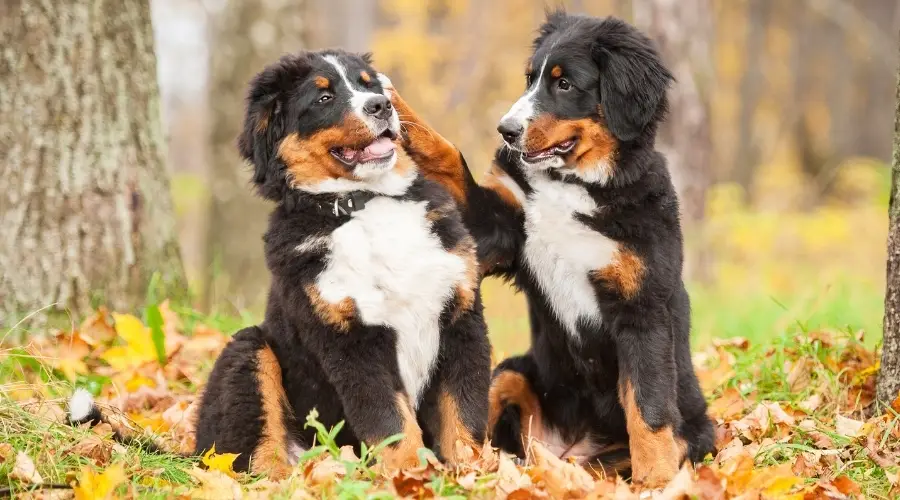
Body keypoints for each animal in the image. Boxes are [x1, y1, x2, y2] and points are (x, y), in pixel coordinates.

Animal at [70, 50, 492, 480]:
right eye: (324, 98)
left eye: (370, 84)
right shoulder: (348, 338)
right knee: (255, 460)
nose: (381, 106)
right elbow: (390, 419)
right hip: (249, 351)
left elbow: (463, 412)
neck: (367, 203)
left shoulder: (461, 315)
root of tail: (196, 450)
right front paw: (410, 474)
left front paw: (473, 473)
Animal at [384, 10, 712, 488]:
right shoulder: (498, 228)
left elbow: (648, 406)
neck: (573, 184)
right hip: (512, 372)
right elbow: (448, 156)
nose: (506, 131)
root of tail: (568, 447)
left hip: (692, 432)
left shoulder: (642, 305)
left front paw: (657, 481)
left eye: (565, 84)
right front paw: (394, 104)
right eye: (530, 78)